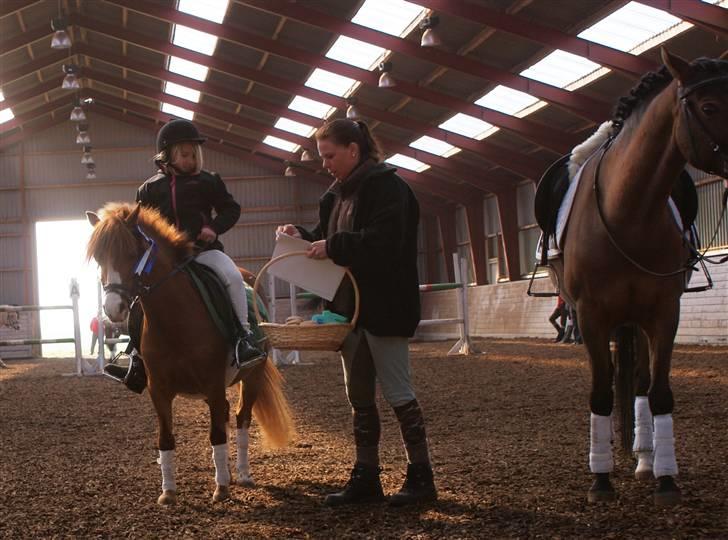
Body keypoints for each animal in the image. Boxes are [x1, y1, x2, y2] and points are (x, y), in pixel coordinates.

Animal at [87, 202, 296, 506]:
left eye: (131, 253)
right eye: (99, 258)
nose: (114, 308)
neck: (175, 320)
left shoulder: (213, 385)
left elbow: (217, 434)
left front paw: (221, 489)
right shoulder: (159, 391)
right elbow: (165, 438)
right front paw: (168, 492)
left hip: (253, 376)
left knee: (242, 419)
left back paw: (243, 474)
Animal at [552, 49, 728, 506]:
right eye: (709, 107)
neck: (628, 211)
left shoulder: (664, 313)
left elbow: (658, 392)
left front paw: (666, 479)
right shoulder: (591, 317)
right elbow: (601, 392)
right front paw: (600, 479)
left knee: (640, 383)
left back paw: (646, 458)